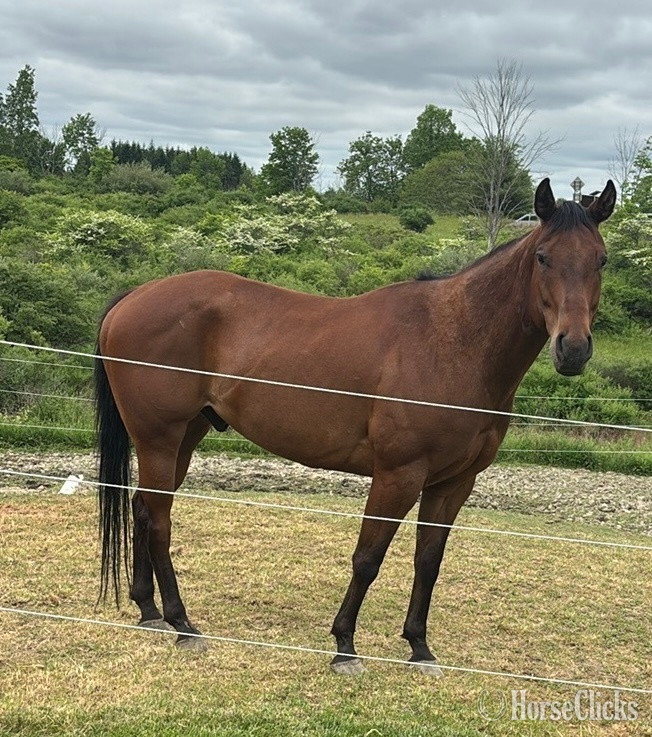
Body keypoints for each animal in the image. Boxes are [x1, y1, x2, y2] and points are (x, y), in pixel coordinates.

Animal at [95, 178, 616, 674]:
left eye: (601, 260)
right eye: (544, 257)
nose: (573, 348)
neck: (454, 341)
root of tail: (134, 296)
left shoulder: (453, 483)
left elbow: (428, 562)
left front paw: (420, 648)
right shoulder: (398, 475)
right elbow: (367, 558)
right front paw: (345, 645)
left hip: (184, 437)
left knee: (143, 509)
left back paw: (150, 611)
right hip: (160, 439)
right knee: (160, 519)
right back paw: (182, 622)